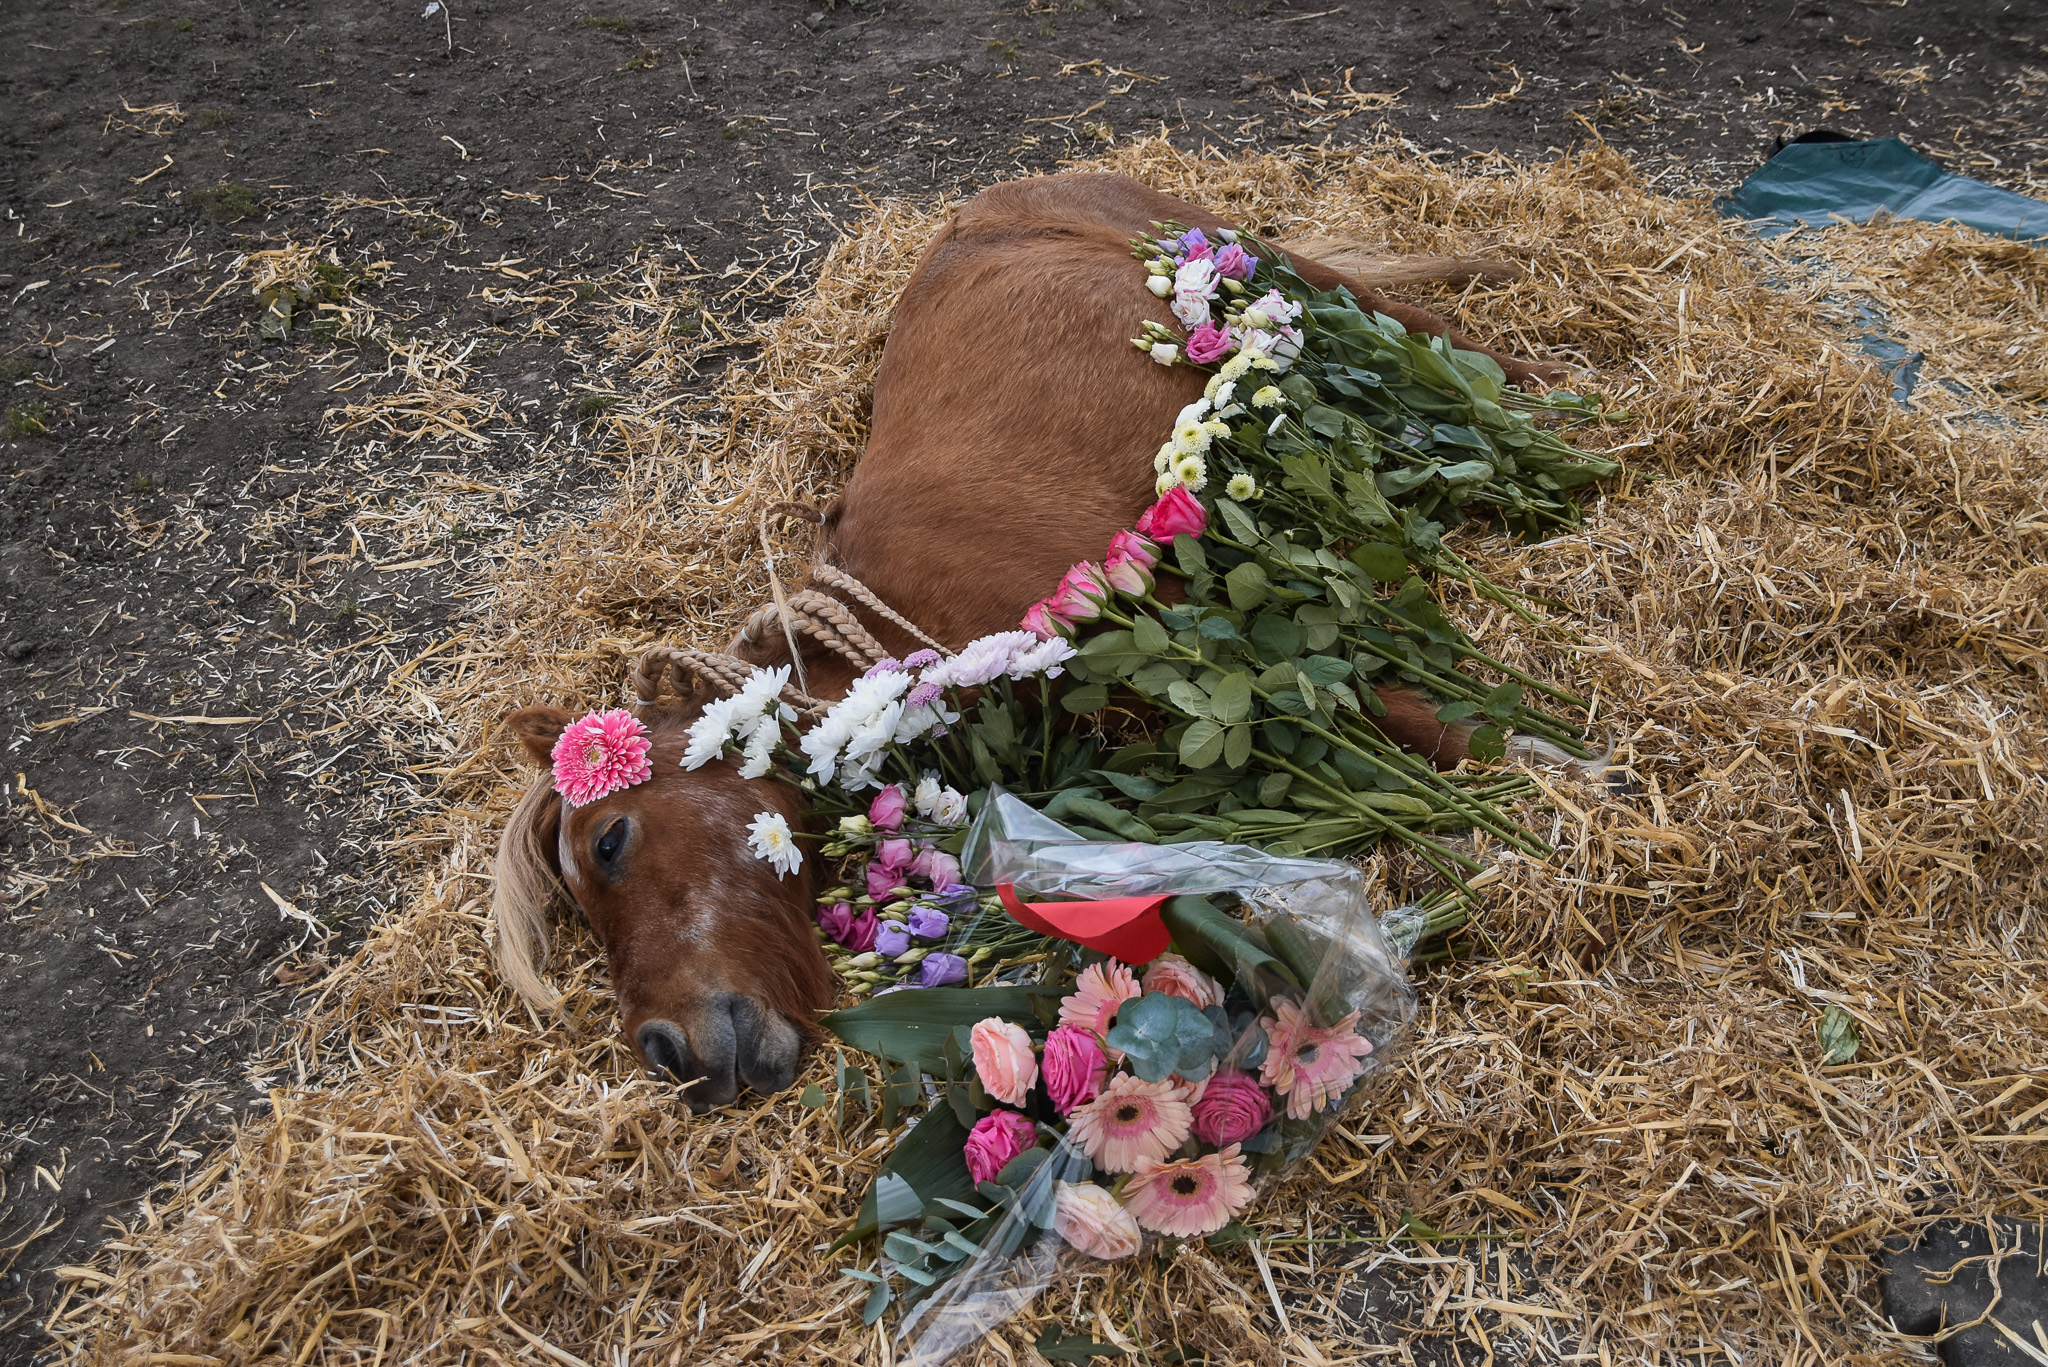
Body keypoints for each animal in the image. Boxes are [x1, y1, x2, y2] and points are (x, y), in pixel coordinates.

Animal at [491, 174, 1548, 1114]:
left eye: (611, 838)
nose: (668, 1052)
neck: (898, 638)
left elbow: (1420, 719)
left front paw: (1551, 770)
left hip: (1259, 265)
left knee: (1407, 321)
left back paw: (1543, 408)